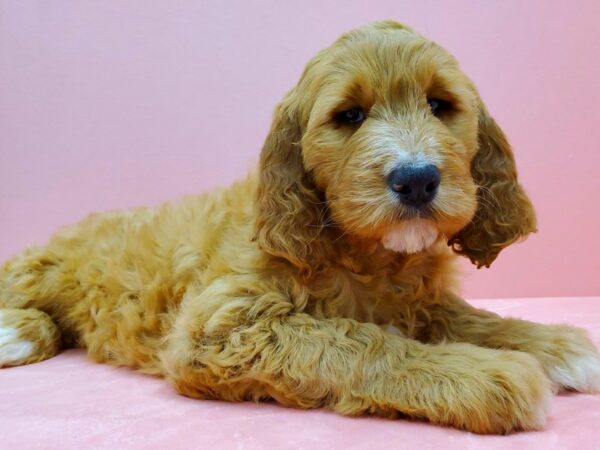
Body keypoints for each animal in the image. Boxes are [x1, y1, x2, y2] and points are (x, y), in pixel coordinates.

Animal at [1, 20, 600, 432]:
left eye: (439, 104)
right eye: (349, 116)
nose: (416, 179)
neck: (369, 256)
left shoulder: (422, 302)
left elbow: (471, 318)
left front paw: (554, 344)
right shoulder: (222, 327)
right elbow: (362, 343)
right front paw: (483, 377)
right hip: (35, 270)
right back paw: (16, 331)